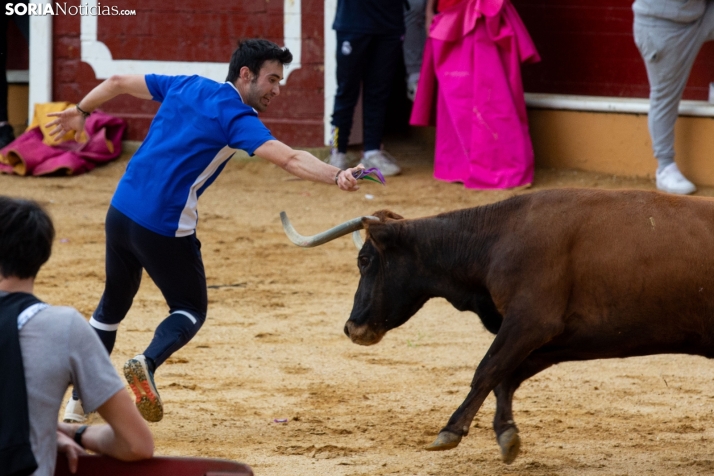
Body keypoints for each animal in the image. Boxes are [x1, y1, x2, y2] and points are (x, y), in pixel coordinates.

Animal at [280, 188, 714, 462]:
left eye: (365, 260)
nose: (353, 328)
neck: (494, 238)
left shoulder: (531, 323)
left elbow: (487, 370)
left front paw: (450, 431)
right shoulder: (555, 337)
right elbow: (506, 376)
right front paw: (507, 435)